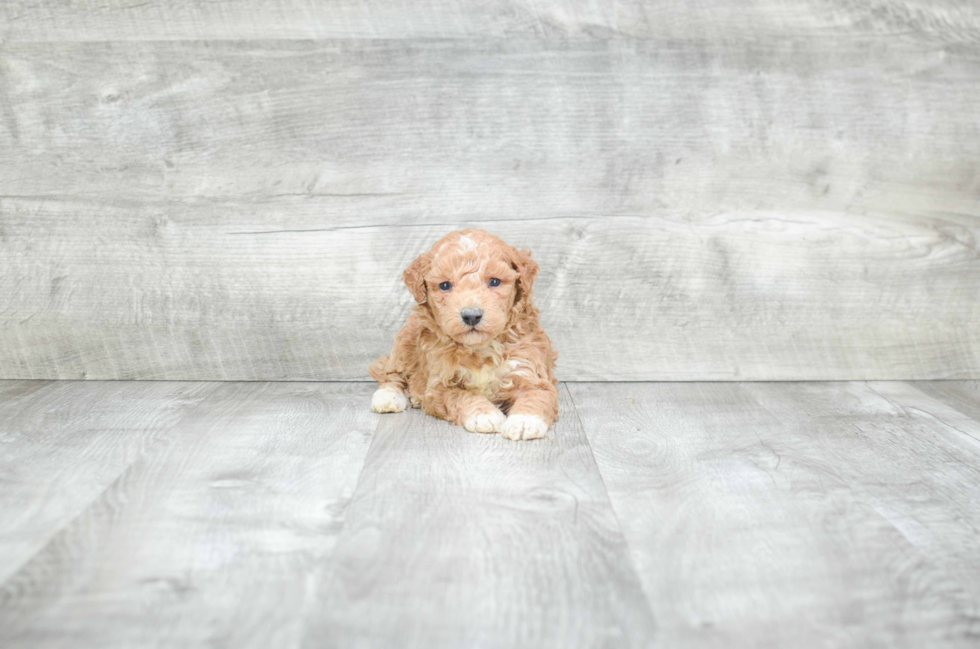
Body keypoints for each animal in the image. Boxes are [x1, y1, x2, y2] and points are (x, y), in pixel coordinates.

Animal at [370, 229, 560, 440]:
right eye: (445, 285)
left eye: (495, 281)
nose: (471, 315)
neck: (481, 348)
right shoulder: (440, 385)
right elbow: (462, 396)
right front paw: (484, 414)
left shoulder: (528, 369)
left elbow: (536, 394)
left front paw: (524, 421)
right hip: (405, 342)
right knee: (392, 374)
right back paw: (388, 397)